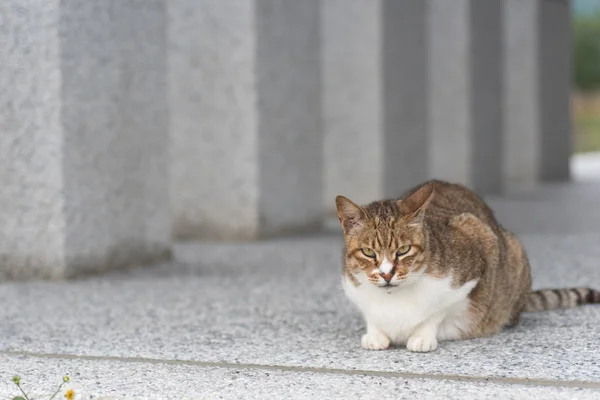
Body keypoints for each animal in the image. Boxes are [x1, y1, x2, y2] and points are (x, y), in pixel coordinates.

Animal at [336, 180, 596, 352]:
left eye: (403, 250)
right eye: (368, 252)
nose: (387, 274)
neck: (394, 299)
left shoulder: (479, 250)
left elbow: (437, 310)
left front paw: (422, 335)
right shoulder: (352, 286)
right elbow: (371, 315)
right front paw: (375, 333)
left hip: (511, 250)